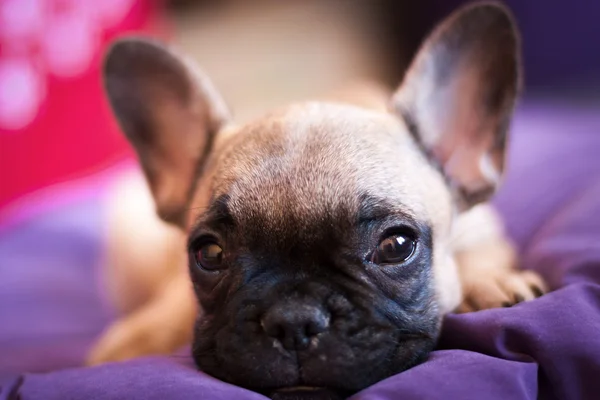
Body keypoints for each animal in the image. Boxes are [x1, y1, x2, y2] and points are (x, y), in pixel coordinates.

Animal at [88, 2, 544, 396]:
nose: (293, 320)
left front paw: (488, 283)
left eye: (396, 246)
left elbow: (481, 259)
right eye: (209, 253)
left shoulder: (483, 231)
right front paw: (138, 340)